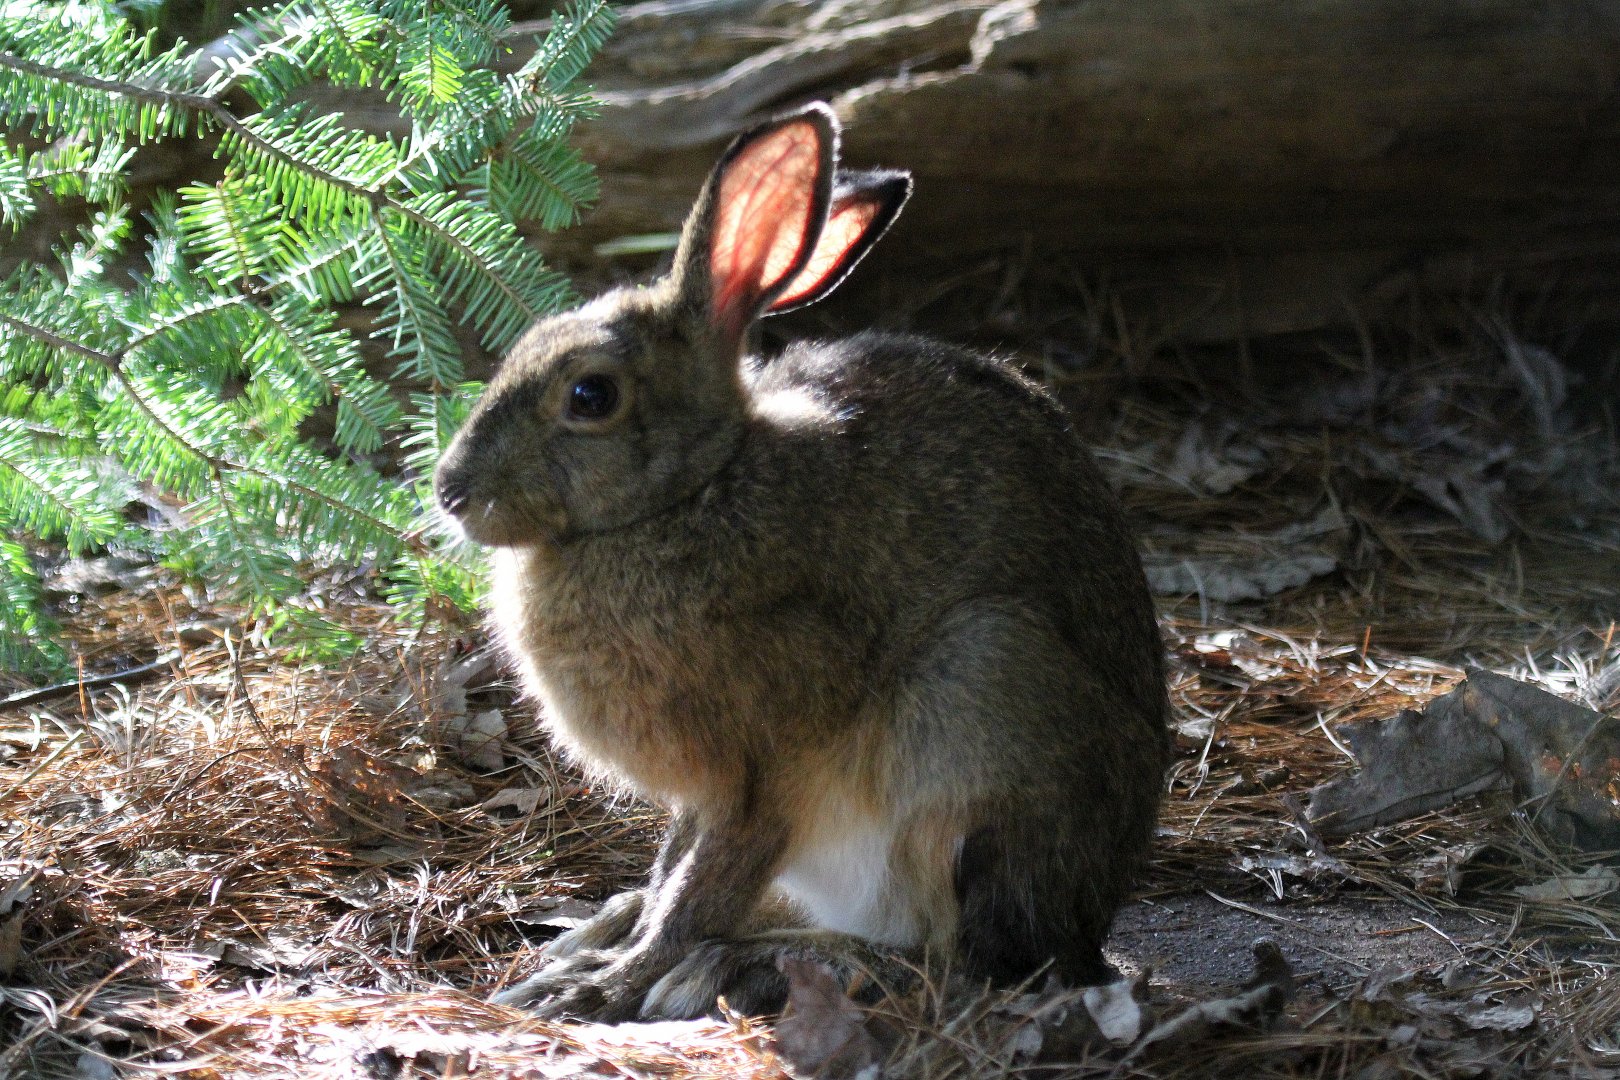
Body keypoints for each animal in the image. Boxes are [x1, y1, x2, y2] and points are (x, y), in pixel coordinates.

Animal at [434, 102, 1169, 1023]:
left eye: (591, 396)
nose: (450, 491)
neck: (695, 489)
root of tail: (1093, 917)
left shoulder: (761, 773)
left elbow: (702, 887)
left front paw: (603, 988)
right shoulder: (703, 797)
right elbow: (674, 867)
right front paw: (602, 951)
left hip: (978, 698)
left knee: (963, 962)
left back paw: (738, 966)